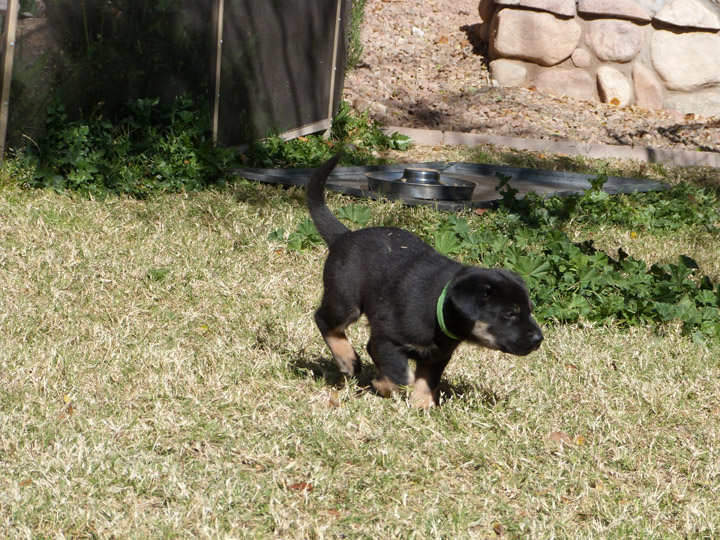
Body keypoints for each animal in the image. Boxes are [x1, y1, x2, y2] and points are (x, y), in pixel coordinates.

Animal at [306, 154, 544, 408]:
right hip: (345, 299)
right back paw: (347, 359)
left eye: (529, 310)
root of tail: (344, 236)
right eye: (509, 314)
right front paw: (384, 386)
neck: (439, 306)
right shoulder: (387, 339)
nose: (539, 339)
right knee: (325, 320)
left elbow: (426, 380)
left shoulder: (437, 355)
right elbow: (401, 376)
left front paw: (422, 405)